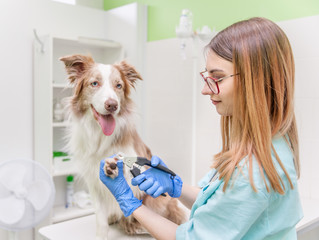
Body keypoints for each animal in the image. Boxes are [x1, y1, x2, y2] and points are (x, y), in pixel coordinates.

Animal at [60, 55, 186, 239]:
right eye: (94, 83)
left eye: (118, 85)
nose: (112, 105)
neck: (100, 136)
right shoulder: (93, 181)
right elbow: (100, 216)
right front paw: (101, 235)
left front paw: (115, 169)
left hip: (159, 201)